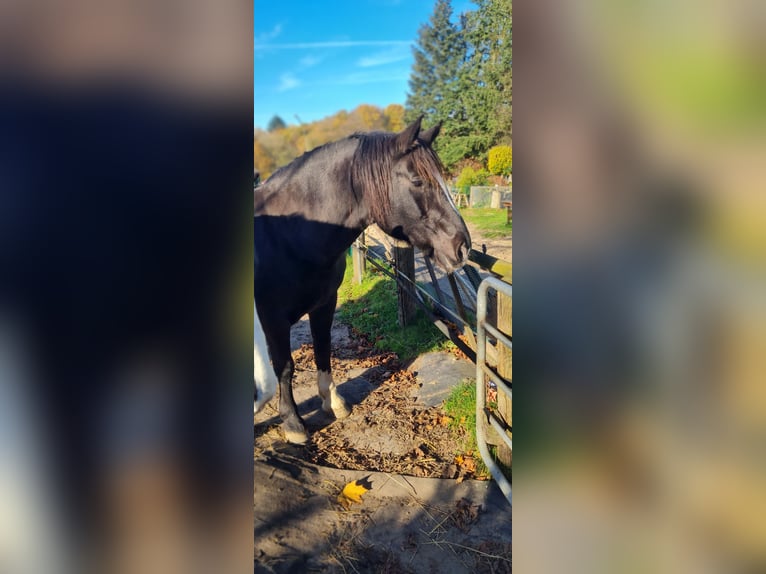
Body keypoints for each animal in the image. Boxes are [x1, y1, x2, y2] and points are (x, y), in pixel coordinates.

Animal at [255, 117, 472, 446]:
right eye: (417, 181)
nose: (462, 248)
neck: (287, 235)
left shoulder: (324, 304)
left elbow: (322, 348)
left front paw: (332, 402)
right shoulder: (272, 318)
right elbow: (285, 366)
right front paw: (293, 422)